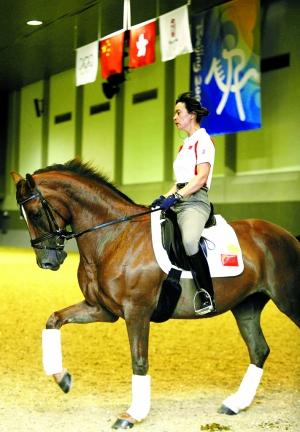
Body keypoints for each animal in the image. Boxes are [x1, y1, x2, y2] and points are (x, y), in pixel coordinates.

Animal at [11, 160, 300, 430]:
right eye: (23, 217)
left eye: (35, 213)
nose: (48, 262)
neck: (115, 236)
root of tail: (287, 236)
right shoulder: (100, 309)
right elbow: (54, 320)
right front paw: (62, 379)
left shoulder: (136, 312)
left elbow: (139, 361)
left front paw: (132, 415)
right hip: (246, 306)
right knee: (259, 350)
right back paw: (235, 404)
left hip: (288, 301)